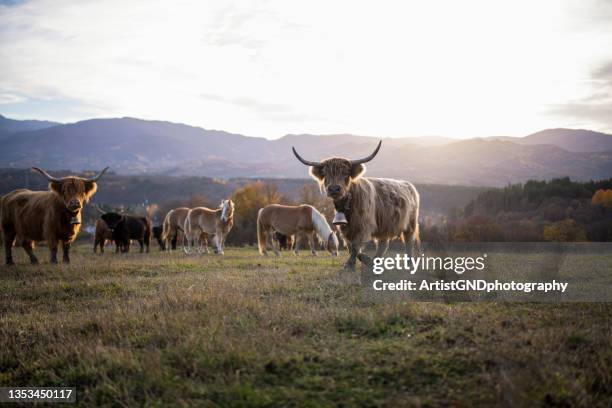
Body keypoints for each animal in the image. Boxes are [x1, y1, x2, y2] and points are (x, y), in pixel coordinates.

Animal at [292, 141, 420, 270]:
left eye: (346, 173)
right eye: (325, 174)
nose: (334, 189)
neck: (348, 205)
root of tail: (408, 185)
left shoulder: (363, 226)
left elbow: (355, 245)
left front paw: (352, 264)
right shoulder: (345, 228)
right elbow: (351, 246)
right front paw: (360, 261)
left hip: (411, 224)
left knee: (409, 242)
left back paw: (409, 264)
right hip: (385, 225)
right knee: (383, 244)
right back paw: (374, 262)